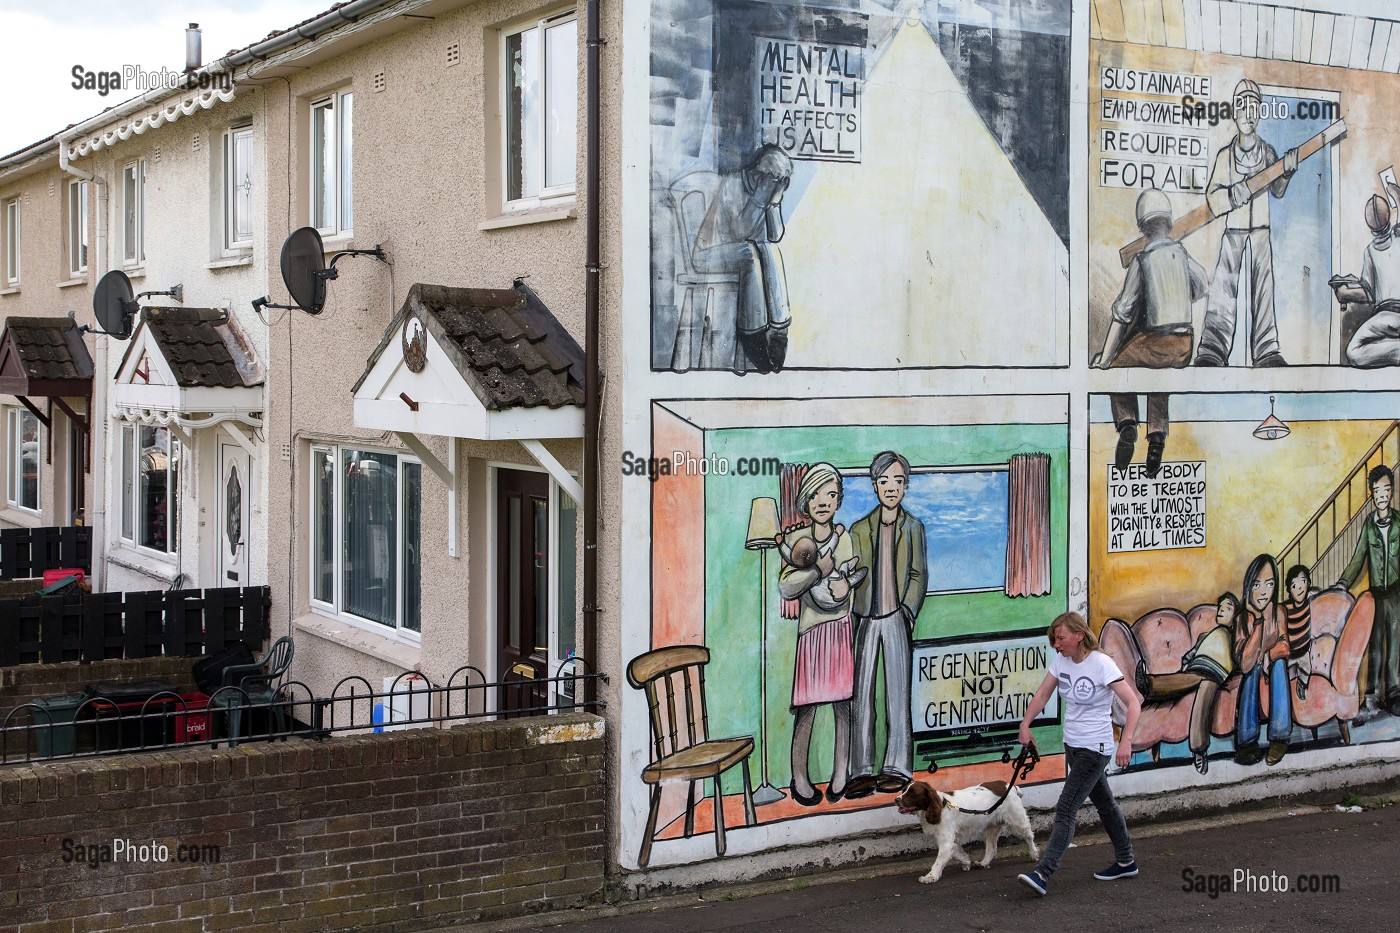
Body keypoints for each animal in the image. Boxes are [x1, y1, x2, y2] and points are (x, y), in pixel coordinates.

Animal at [896, 778, 1041, 879]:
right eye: (904, 790)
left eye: (912, 793)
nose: (896, 799)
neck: (940, 806)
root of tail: (1010, 786)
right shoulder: (948, 841)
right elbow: (956, 851)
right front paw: (966, 861)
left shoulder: (945, 842)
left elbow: (938, 861)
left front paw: (930, 877)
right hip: (990, 827)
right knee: (992, 847)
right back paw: (983, 863)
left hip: (1016, 821)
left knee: (1029, 836)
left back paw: (1034, 854)